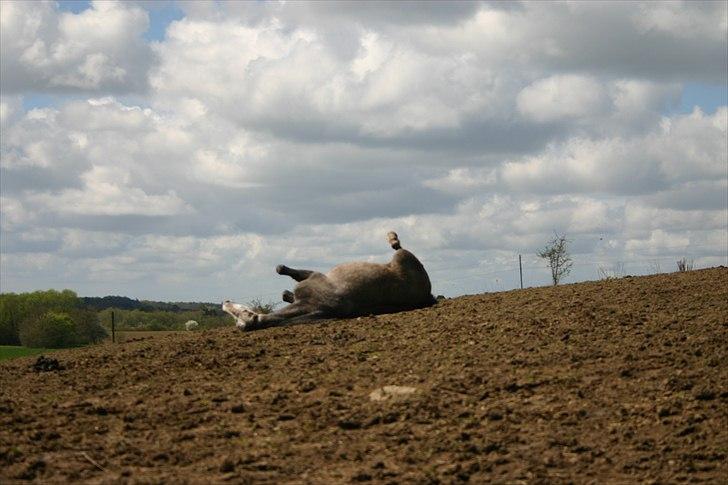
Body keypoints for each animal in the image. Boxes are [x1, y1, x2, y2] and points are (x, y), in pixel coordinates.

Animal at [225, 233, 436, 330]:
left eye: (240, 312)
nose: (226, 301)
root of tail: (428, 294)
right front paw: (287, 294)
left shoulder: (313, 276)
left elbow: (285, 271)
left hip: (402, 256)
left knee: (398, 247)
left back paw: (392, 237)